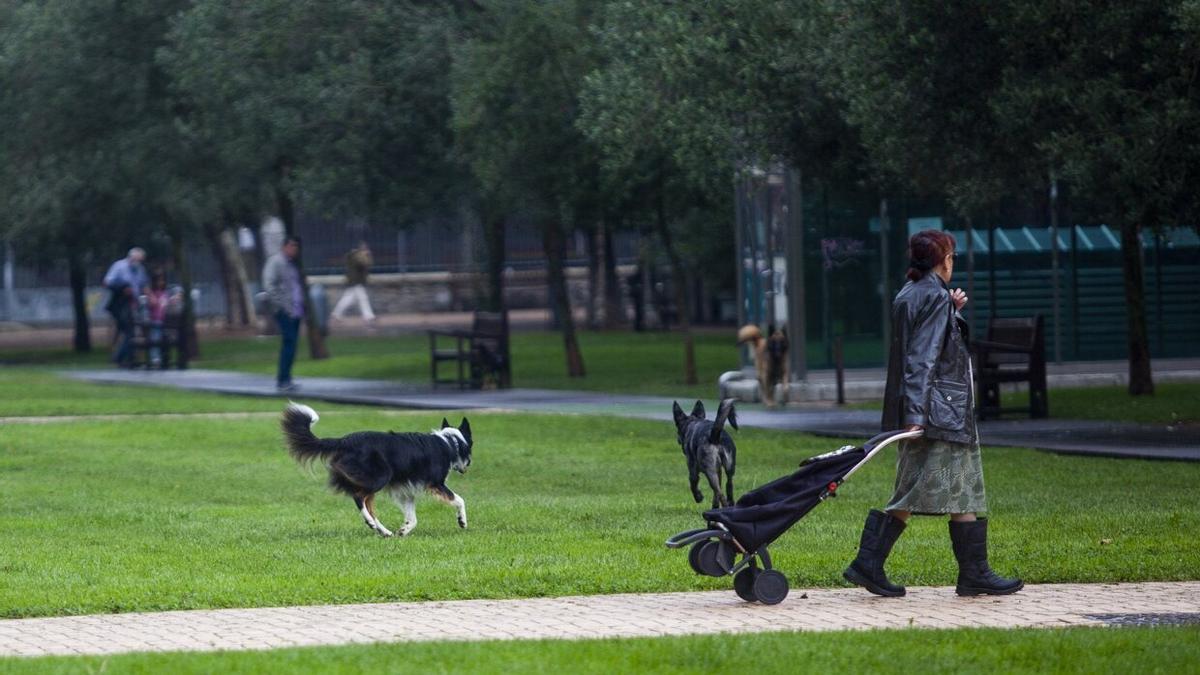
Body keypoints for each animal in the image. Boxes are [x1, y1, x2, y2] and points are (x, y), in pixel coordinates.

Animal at [279, 398, 468, 535]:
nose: (466, 467)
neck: (450, 442)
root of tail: (345, 440)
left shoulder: (405, 490)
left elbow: (412, 518)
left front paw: (404, 530)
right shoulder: (436, 483)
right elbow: (459, 500)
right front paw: (462, 521)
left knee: (368, 506)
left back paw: (383, 531)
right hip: (379, 477)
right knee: (359, 498)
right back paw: (373, 524)